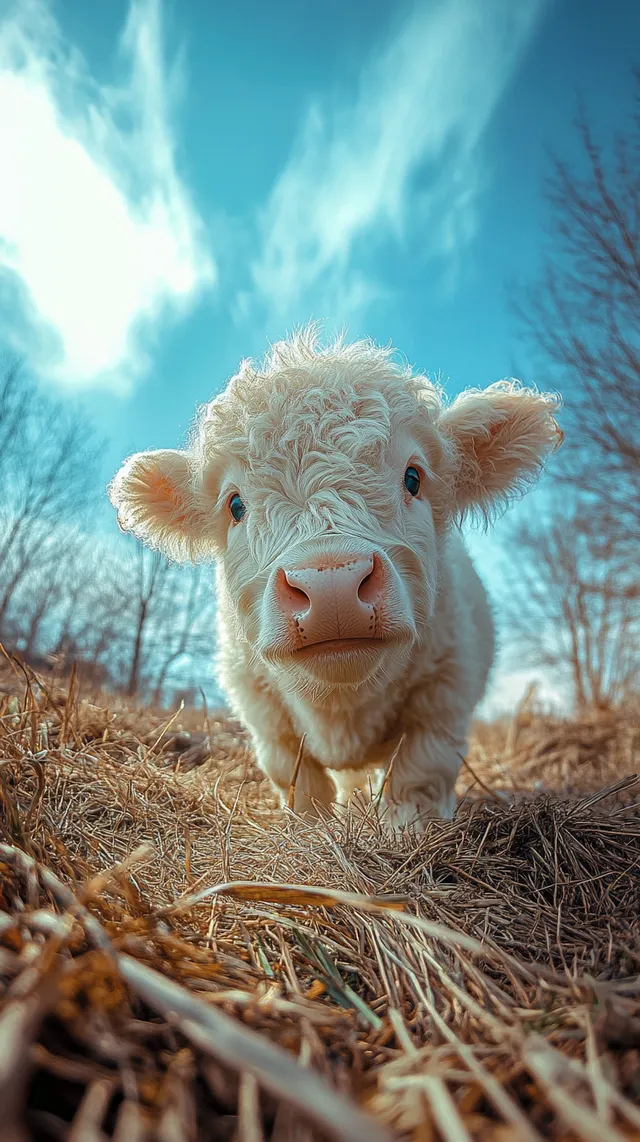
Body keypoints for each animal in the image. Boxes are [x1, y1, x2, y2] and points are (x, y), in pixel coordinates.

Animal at [109, 326, 561, 828]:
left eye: (413, 477)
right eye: (235, 504)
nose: (332, 587)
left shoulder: (445, 696)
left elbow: (419, 774)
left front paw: (409, 830)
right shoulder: (263, 712)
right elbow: (296, 777)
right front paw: (311, 829)